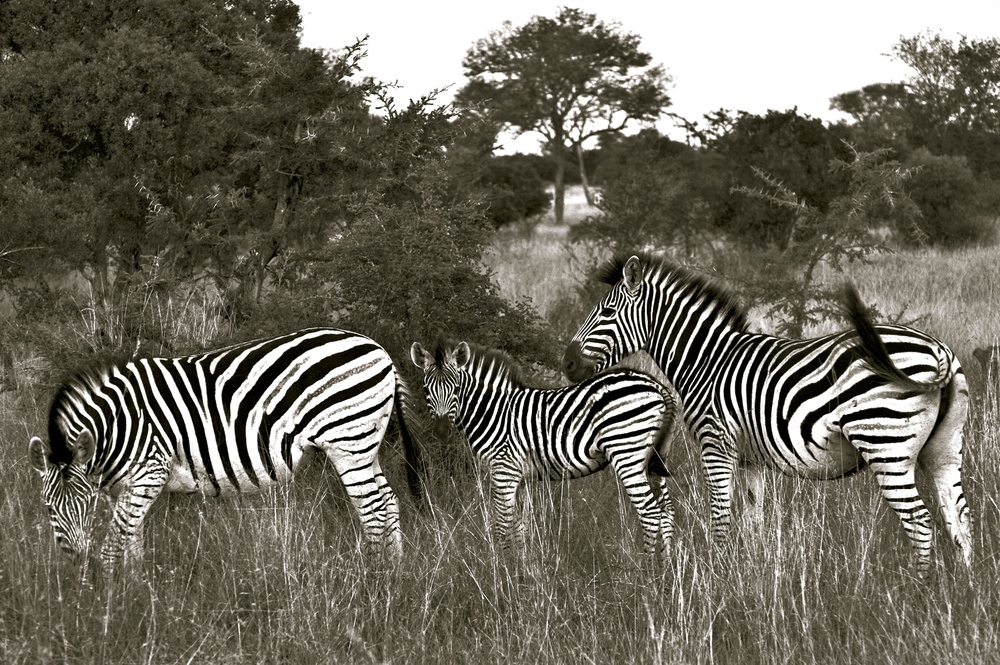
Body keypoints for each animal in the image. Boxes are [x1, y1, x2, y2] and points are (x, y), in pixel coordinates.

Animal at [26, 328, 418, 576]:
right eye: (48, 508)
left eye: (84, 504)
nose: (76, 561)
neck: (118, 427)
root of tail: (379, 349)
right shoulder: (122, 488)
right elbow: (131, 544)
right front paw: (136, 594)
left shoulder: (150, 473)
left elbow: (113, 546)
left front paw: (110, 607)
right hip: (366, 443)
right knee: (388, 500)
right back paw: (396, 573)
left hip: (347, 441)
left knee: (373, 510)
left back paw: (373, 579)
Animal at [408, 338, 680, 560]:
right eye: (426, 390)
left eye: (456, 389)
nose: (442, 432)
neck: (493, 412)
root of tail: (657, 385)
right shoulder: (519, 477)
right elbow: (519, 527)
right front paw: (523, 571)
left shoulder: (503, 470)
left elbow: (502, 525)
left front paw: (504, 573)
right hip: (653, 457)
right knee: (666, 513)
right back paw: (663, 575)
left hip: (627, 453)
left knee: (650, 513)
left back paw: (644, 574)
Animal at [568, 252, 972, 572]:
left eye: (607, 312)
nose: (566, 363)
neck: (706, 361)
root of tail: (938, 350)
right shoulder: (750, 459)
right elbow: (753, 519)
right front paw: (752, 577)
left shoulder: (717, 444)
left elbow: (720, 517)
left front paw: (719, 578)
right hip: (944, 449)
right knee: (959, 519)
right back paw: (962, 596)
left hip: (886, 443)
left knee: (921, 521)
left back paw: (919, 589)